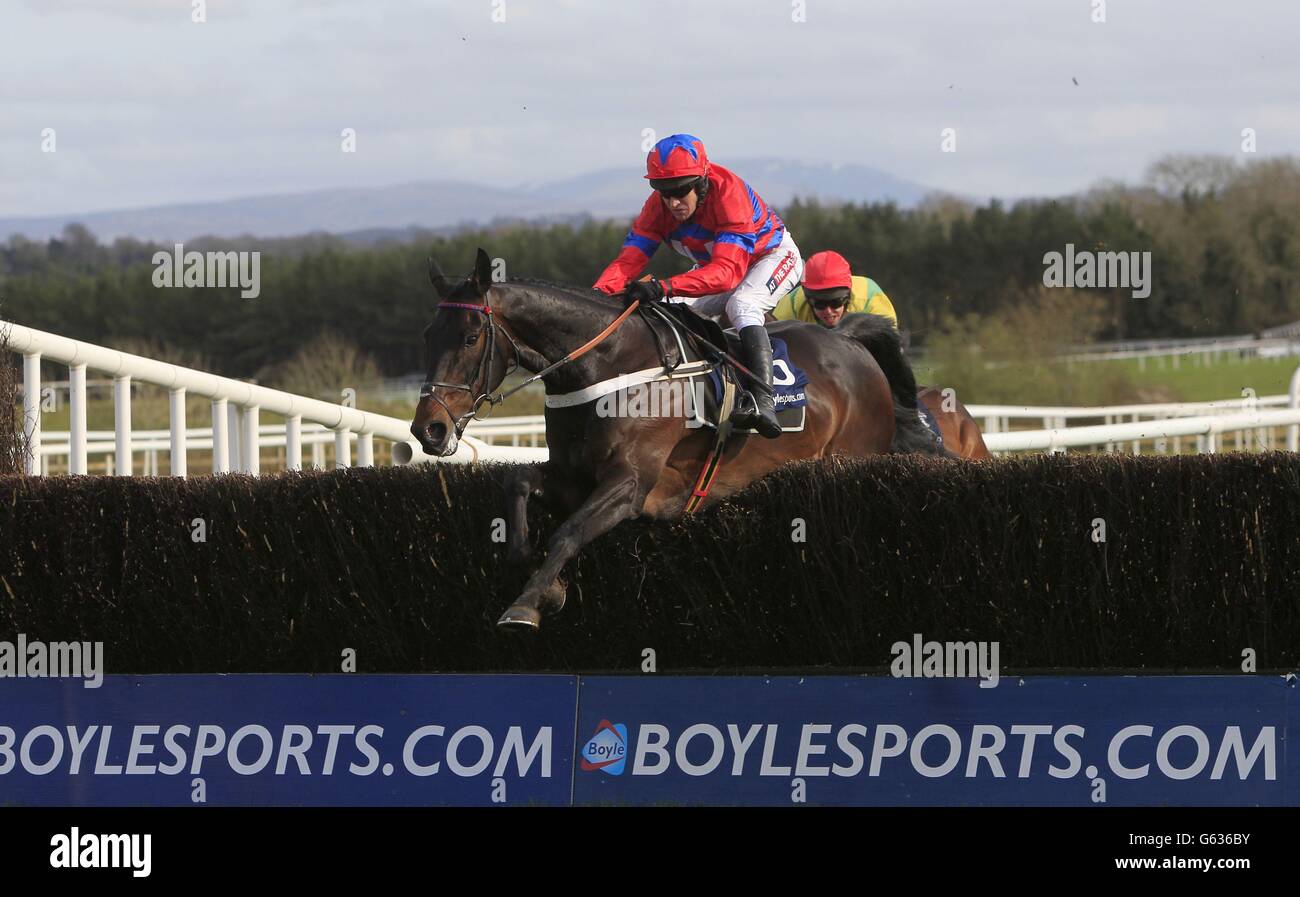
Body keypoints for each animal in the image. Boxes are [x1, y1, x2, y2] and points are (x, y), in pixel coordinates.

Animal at [413, 248, 946, 629]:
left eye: (470, 337)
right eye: (428, 334)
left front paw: (525, 604)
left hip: (853, 456)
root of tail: (851, 341)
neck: (606, 364)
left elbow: (569, 531)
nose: (428, 429)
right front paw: (547, 585)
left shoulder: (632, 483)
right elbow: (519, 483)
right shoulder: (572, 475)